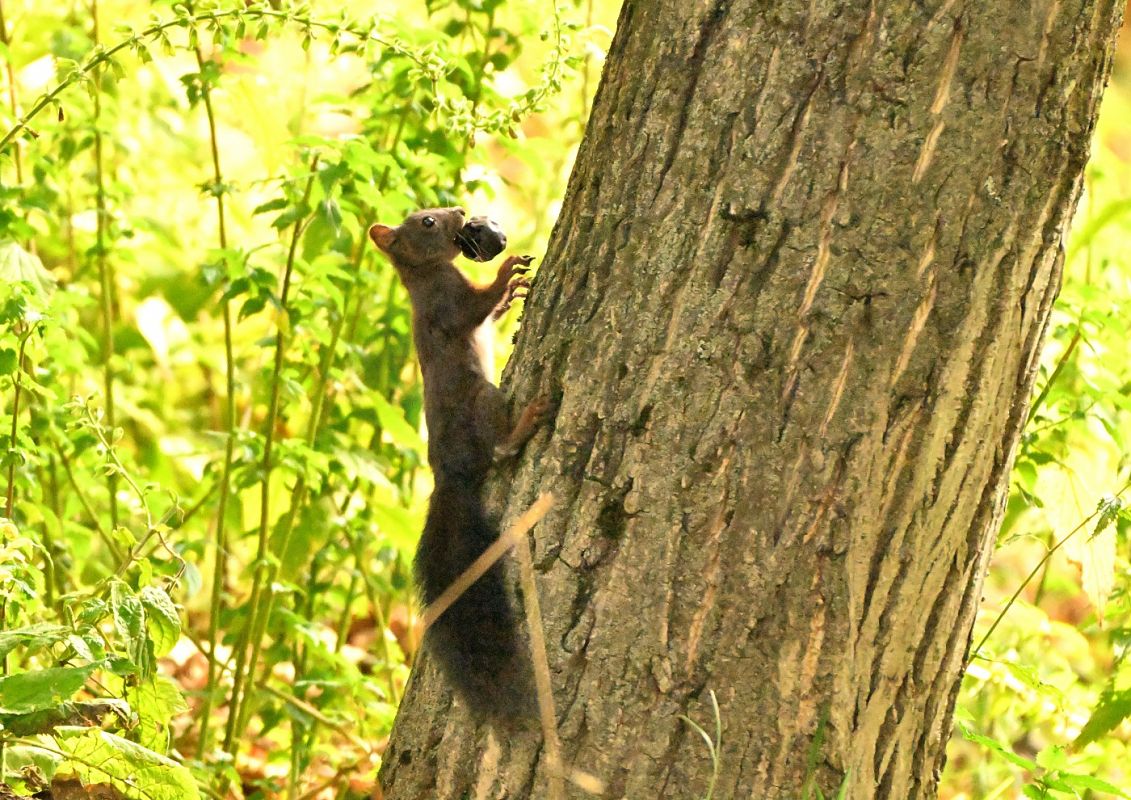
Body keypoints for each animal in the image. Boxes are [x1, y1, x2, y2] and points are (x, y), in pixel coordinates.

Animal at [368, 206, 551, 724]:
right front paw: (506, 273)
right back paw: (525, 423)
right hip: (482, 400)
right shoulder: (448, 308)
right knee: (500, 450)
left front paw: (515, 290)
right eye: (427, 222)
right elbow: (477, 308)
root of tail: (448, 476)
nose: (462, 213)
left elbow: (493, 312)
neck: (426, 276)